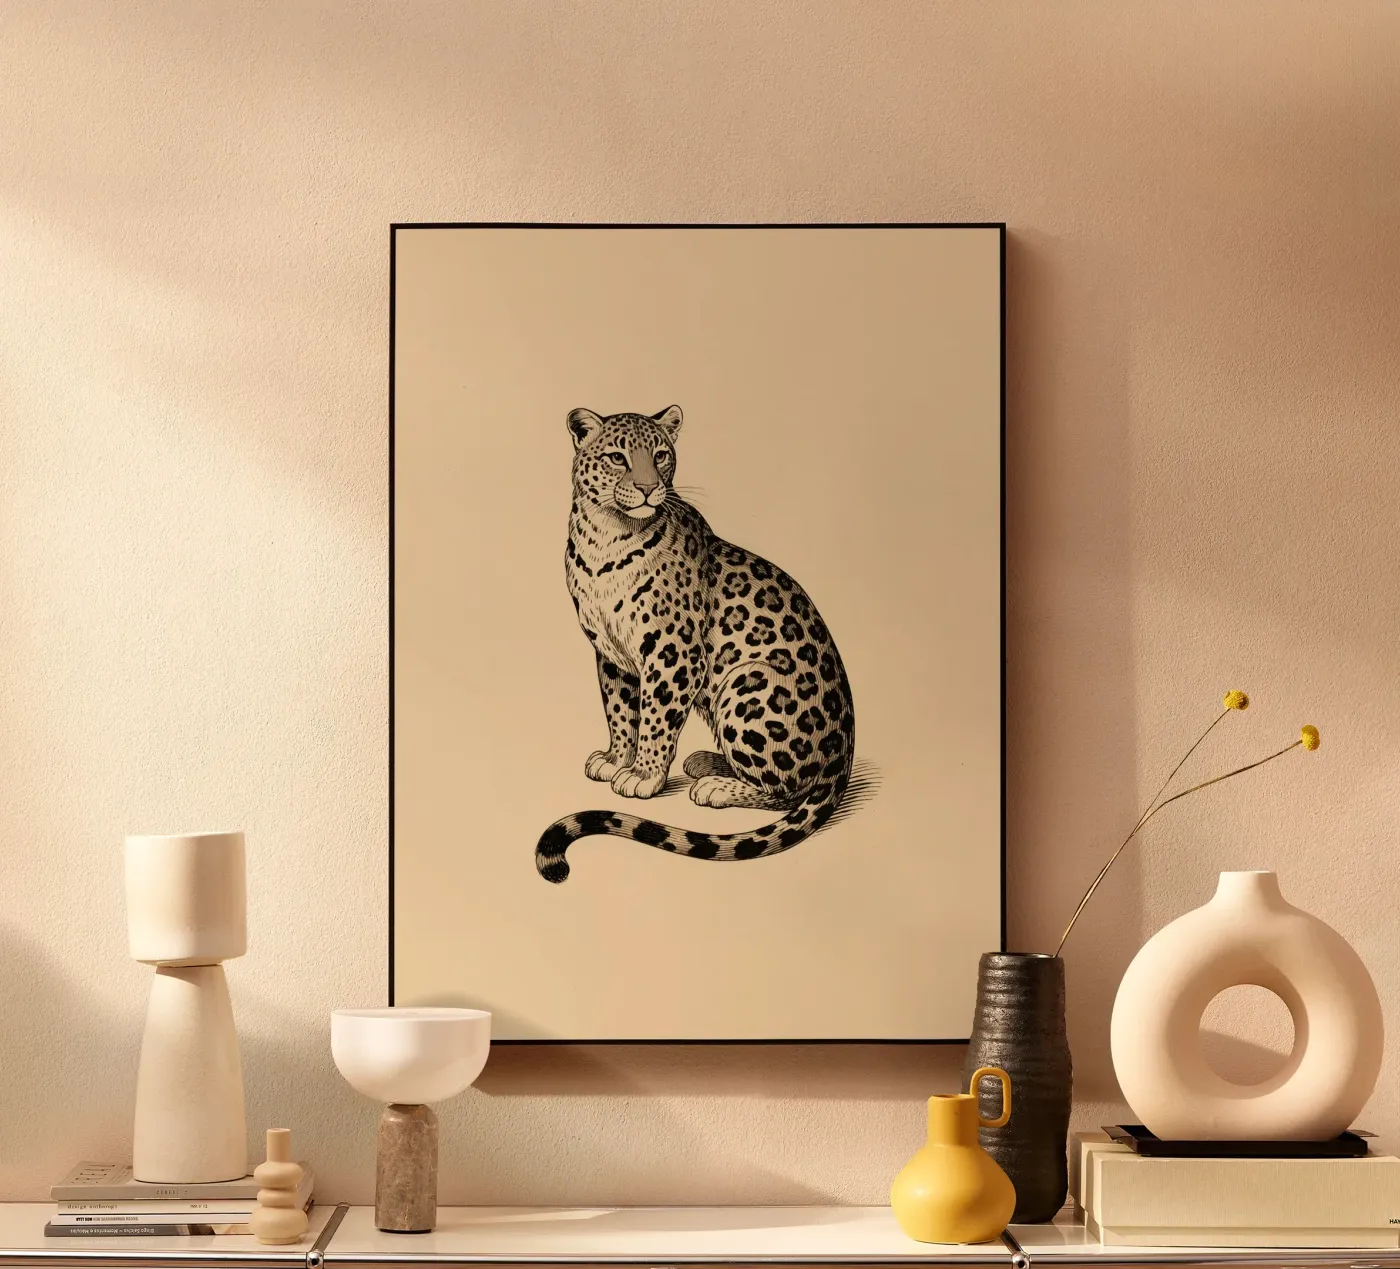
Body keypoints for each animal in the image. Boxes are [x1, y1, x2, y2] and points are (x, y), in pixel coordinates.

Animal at [535, 403, 855, 883]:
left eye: (661, 455)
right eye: (617, 457)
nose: (649, 489)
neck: (604, 536)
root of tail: (844, 757)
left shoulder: (674, 653)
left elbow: (655, 719)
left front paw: (643, 775)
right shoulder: (611, 655)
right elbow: (620, 712)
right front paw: (616, 758)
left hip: (748, 685)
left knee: (786, 790)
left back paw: (716, 786)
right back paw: (707, 761)